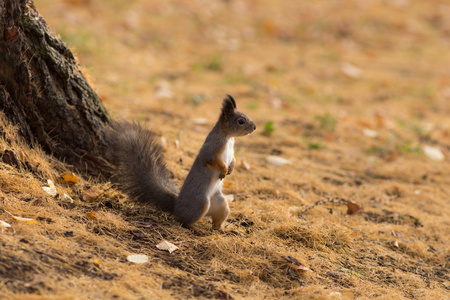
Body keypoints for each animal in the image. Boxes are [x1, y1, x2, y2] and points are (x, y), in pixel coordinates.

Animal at [103, 95, 255, 229]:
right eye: (241, 121)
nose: (254, 127)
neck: (229, 138)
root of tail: (176, 206)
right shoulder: (212, 148)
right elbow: (211, 159)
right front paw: (224, 170)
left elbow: (234, 159)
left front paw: (231, 168)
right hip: (200, 204)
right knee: (183, 221)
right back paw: (195, 228)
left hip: (221, 204)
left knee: (217, 219)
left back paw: (222, 229)